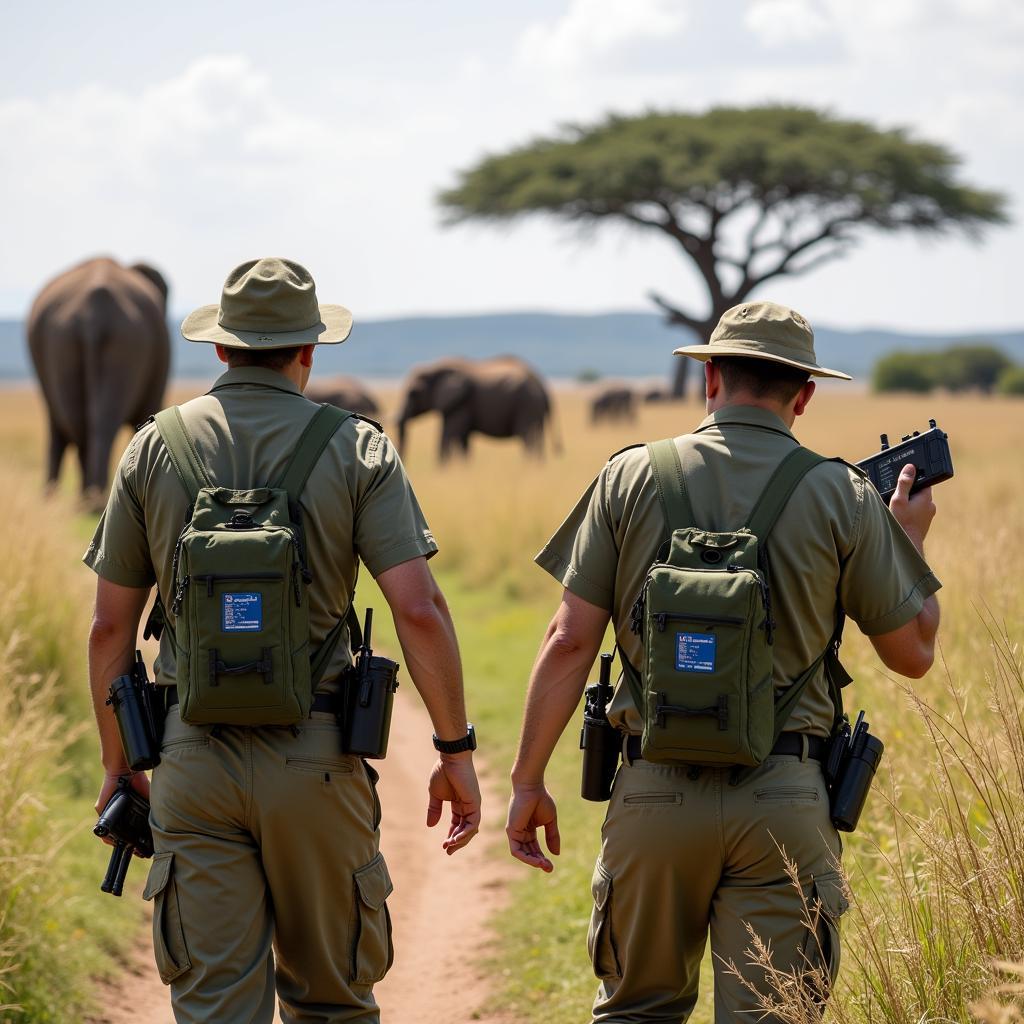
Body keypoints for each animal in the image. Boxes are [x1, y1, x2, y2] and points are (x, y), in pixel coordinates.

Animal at [397, 356, 561, 460]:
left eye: (413, 393)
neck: (435, 366)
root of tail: (543, 386)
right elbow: (463, 440)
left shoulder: (461, 403)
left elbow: (448, 435)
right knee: (537, 438)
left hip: (527, 405)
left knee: (529, 439)